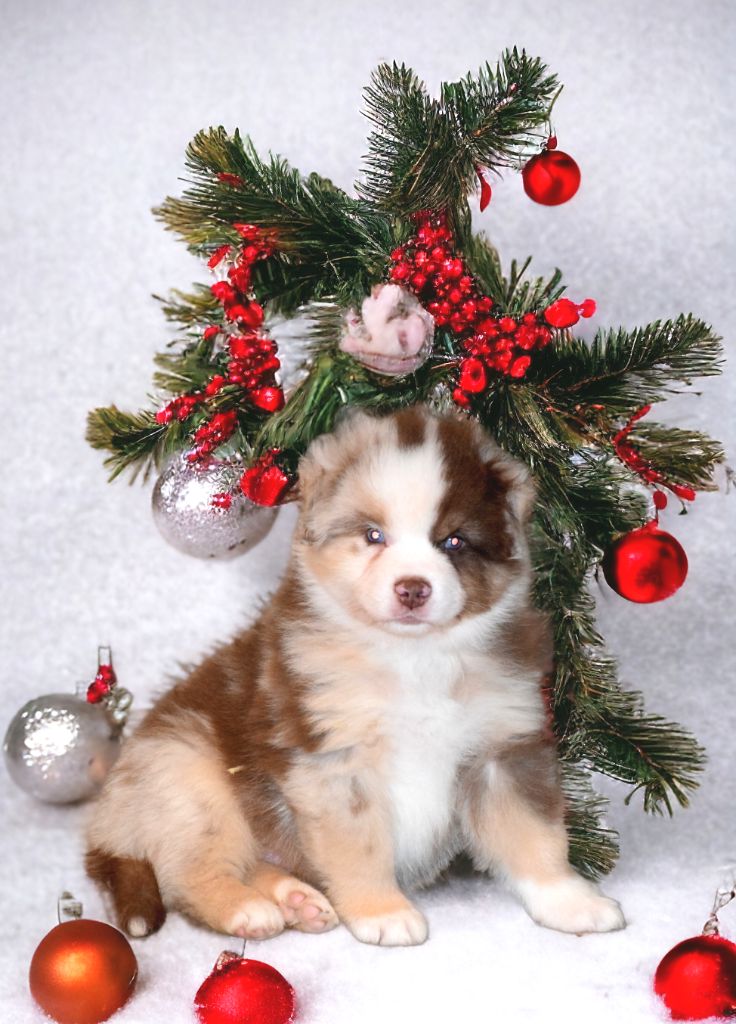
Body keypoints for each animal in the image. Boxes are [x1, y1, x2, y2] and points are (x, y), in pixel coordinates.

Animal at [86, 405, 625, 945]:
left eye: (453, 542)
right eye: (373, 536)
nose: (412, 589)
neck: (415, 657)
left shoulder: (504, 746)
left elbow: (535, 835)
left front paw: (570, 901)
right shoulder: (335, 757)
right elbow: (360, 845)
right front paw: (382, 911)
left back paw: (297, 901)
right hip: (188, 776)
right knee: (187, 872)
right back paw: (247, 908)